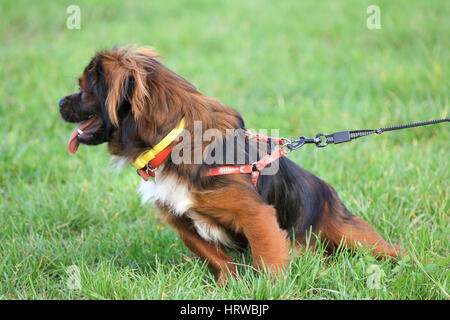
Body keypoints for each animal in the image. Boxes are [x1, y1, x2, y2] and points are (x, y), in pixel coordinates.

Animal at [59, 45, 400, 284]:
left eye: (84, 90)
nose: (60, 102)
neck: (173, 140)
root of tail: (329, 191)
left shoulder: (257, 216)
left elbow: (268, 259)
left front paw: (272, 289)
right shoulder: (184, 224)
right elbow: (217, 258)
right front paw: (229, 285)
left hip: (351, 234)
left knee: (389, 251)